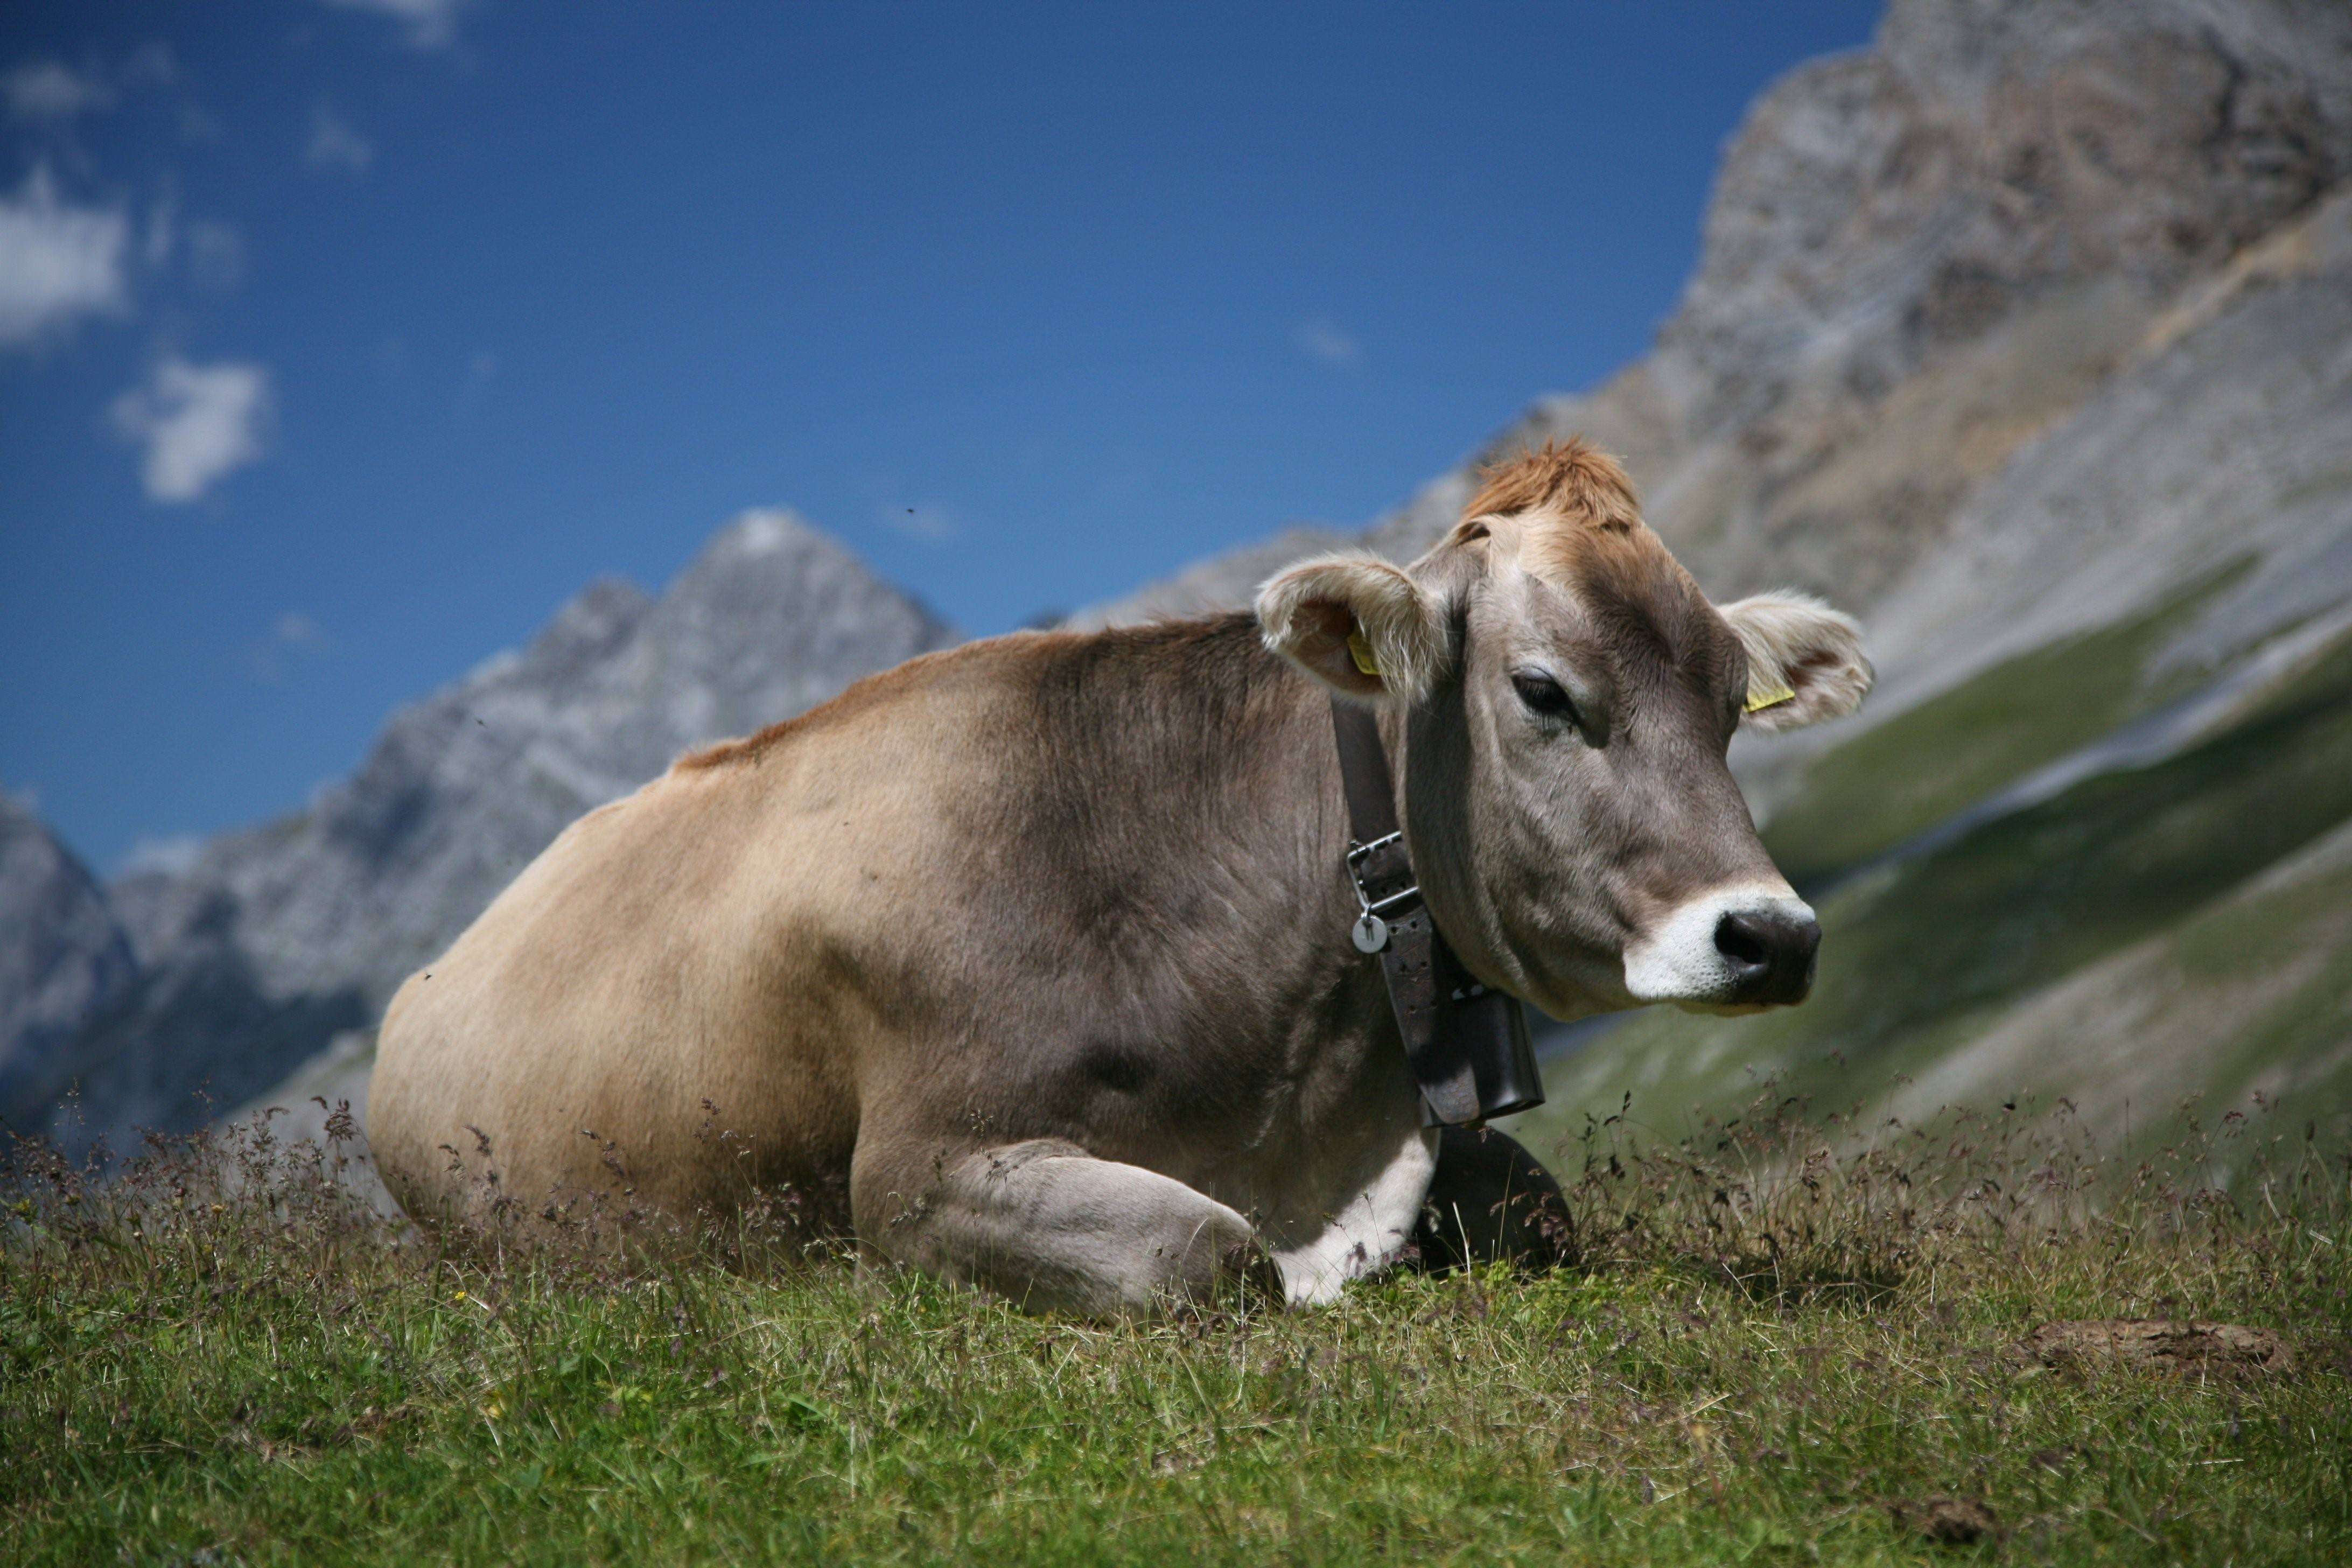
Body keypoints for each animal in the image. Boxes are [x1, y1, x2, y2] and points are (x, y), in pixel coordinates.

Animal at [367, 439, 1872, 1316]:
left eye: (1731, 705)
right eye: (1545, 692)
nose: (1773, 934)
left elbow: (1545, 1207)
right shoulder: (914, 1176)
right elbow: (1209, 1255)